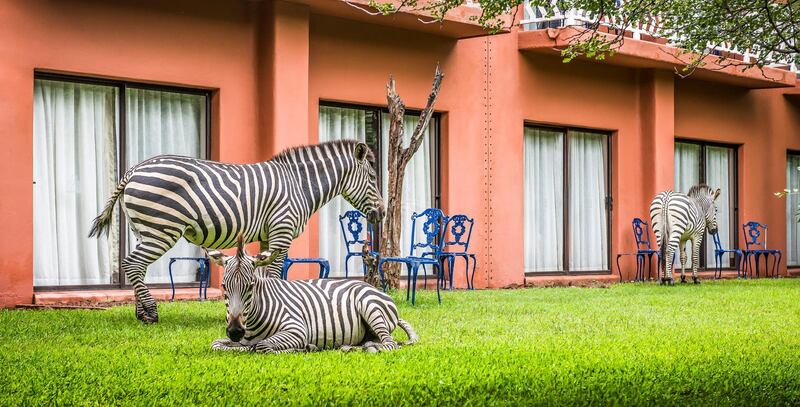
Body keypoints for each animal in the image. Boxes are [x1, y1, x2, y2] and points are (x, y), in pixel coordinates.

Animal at [87, 141, 384, 326]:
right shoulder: (282, 230)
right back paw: (150, 313)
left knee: (135, 267)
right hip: (162, 229)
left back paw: (140, 312)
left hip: (144, 230)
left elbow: (263, 275)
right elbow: (273, 274)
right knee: (132, 264)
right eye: (372, 177)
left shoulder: (268, 235)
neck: (299, 185)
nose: (381, 213)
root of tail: (133, 169)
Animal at [206, 237, 418, 356]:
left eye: (250, 286)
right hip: (367, 331)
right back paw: (352, 347)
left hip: (369, 306)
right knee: (371, 342)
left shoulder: (297, 329)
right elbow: (216, 344)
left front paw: (303, 348)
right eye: (224, 287)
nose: (234, 332)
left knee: (390, 344)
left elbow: (262, 346)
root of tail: (371, 286)